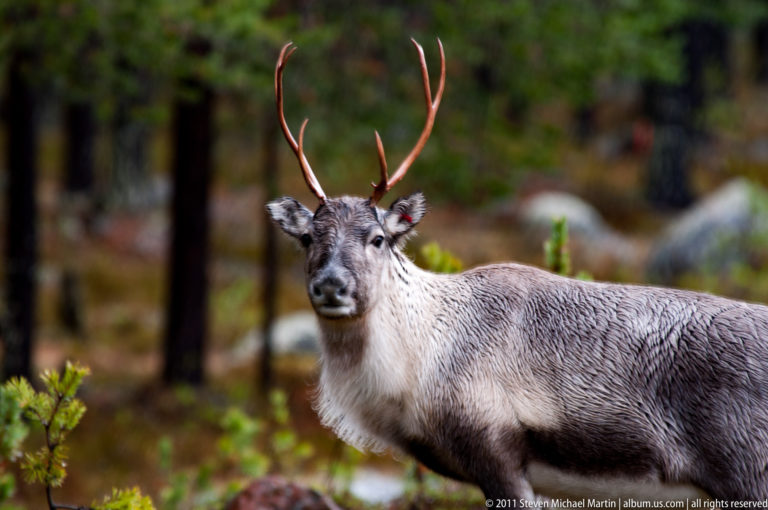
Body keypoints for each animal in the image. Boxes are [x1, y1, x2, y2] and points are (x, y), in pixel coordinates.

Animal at [266, 39, 768, 502]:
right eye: (308, 237)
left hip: (747, 471)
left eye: (377, 238)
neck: (420, 361)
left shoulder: (496, 453)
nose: (331, 286)